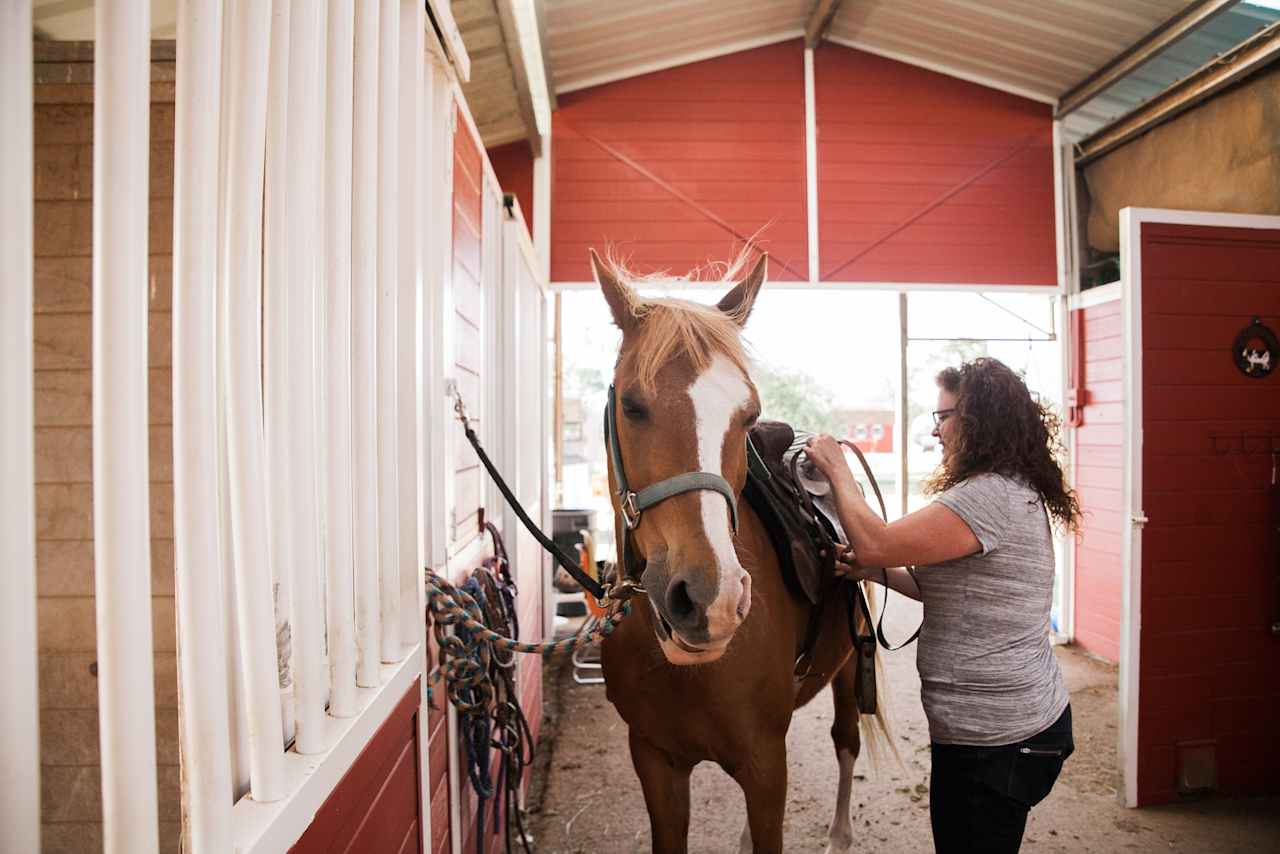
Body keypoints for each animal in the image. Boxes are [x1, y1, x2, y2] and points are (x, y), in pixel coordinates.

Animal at [593, 252, 885, 854]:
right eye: (631, 405)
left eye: (748, 414)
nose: (711, 600)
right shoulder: (654, 760)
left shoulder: (766, 765)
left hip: (849, 667)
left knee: (846, 740)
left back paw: (840, 833)